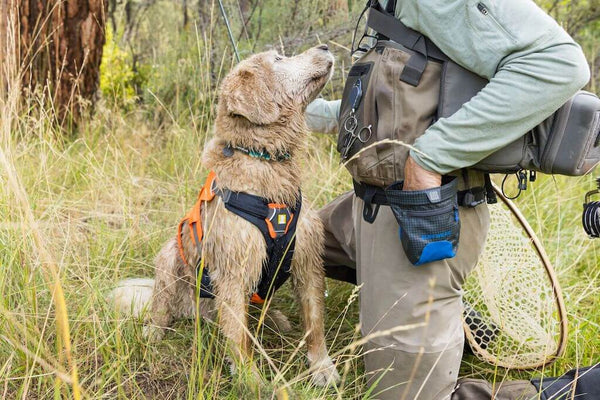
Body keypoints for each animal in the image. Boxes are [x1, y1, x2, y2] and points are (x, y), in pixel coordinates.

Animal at [110, 45, 340, 386]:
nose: (324, 47)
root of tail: (196, 313)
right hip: (168, 258)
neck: (264, 159)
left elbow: (315, 322)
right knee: (162, 308)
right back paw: (154, 331)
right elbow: (238, 335)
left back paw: (276, 319)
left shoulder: (308, 259)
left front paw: (322, 366)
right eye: (279, 59)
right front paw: (251, 379)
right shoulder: (234, 270)